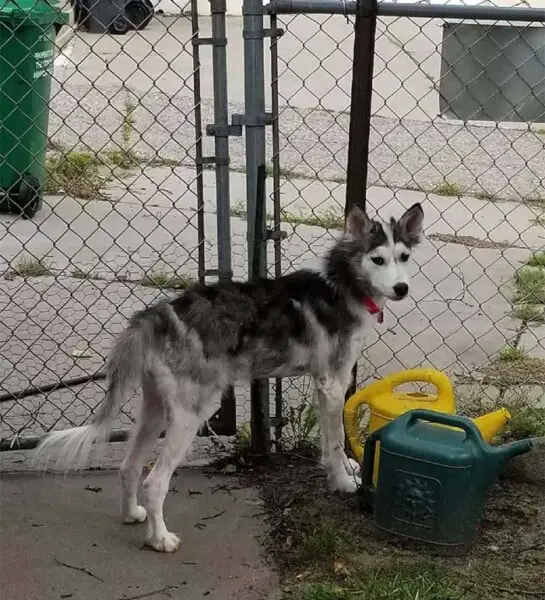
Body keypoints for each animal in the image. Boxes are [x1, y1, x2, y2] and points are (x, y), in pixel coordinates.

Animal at [36, 203, 422, 552]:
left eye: (403, 256)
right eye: (377, 260)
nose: (402, 288)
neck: (342, 284)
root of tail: (160, 313)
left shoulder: (324, 384)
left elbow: (330, 441)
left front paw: (342, 474)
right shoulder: (333, 382)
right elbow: (337, 440)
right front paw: (342, 482)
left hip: (155, 410)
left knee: (129, 466)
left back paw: (133, 515)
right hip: (191, 414)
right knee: (154, 482)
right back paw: (160, 540)